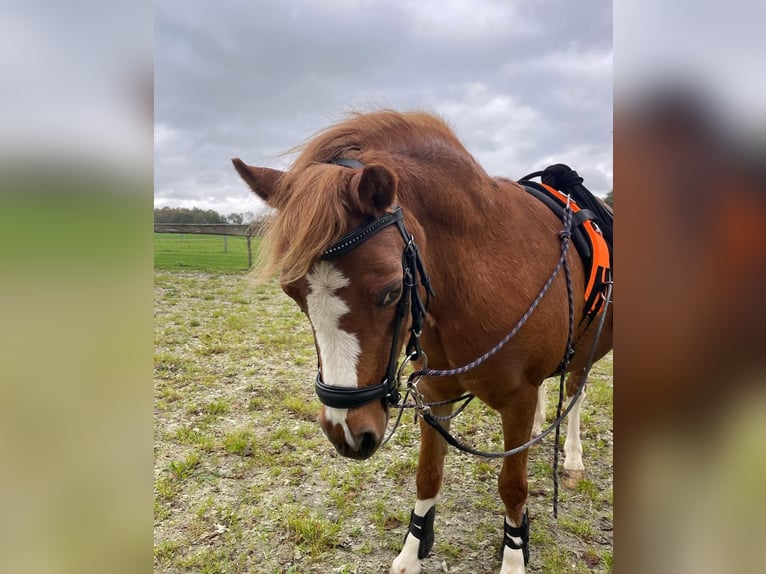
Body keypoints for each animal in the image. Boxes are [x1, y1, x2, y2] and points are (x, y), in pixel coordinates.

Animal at [231, 110, 616, 572]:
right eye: (292, 294)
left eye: (391, 292)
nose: (346, 432)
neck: (478, 273)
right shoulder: (434, 396)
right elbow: (428, 476)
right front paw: (412, 552)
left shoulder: (518, 401)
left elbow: (513, 486)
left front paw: (513, 555)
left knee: (575, 392)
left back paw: (573, 458)